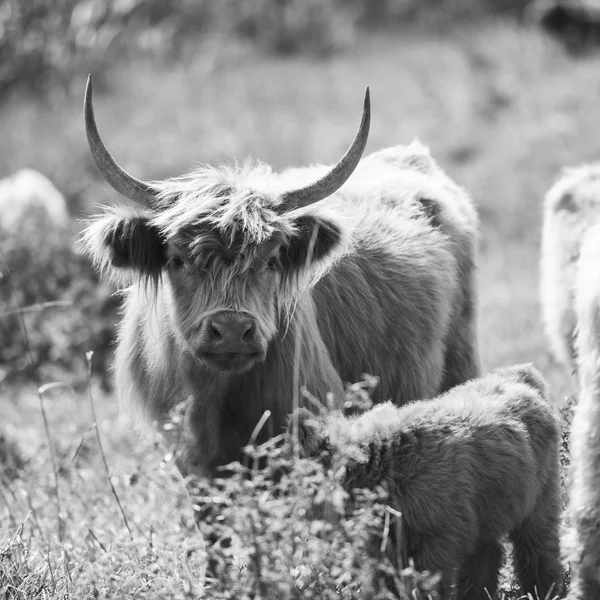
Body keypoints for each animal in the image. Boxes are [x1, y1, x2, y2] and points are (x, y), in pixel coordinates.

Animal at [292, 364, 564, 600]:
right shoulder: (387, 544)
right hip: (488, 509)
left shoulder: (438, 538)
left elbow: (424, 583)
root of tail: (522, 374)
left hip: (540, 494)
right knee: (486, 555)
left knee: (537, 547)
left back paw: (545, 590)